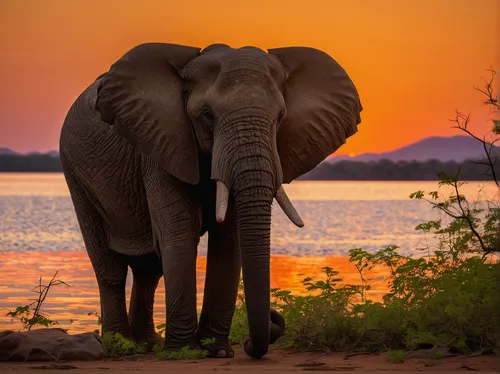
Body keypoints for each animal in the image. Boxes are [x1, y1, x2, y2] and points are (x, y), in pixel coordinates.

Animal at [58, 41, 364, 360]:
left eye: (280, 117)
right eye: (207, 116)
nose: (252, 339)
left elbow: (229, 239)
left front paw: (216, 351)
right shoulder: (162, 144)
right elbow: (180, 231)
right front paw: (184, 352)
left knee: (149, 270)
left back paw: (147, 345)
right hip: (76, 175)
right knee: (110, 268)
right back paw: (120, 345)